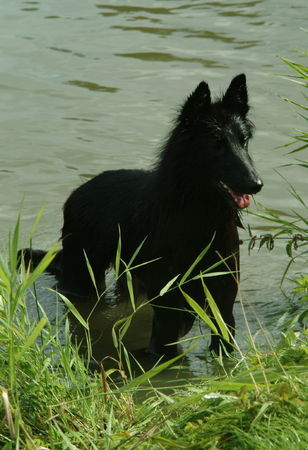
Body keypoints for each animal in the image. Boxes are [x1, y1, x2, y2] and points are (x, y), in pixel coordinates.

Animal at [21, 74, 262, 358]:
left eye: (244, 141)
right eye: (217, 143)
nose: (256, 184)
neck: (199, 220)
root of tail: (76, 194)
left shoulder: (222, 307)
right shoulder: (169, 312)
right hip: (83, 278)